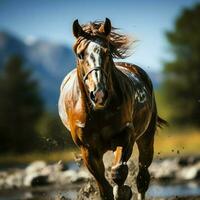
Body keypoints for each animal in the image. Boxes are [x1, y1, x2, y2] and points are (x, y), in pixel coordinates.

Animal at [58, 18, 167, 199]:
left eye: (107, 52)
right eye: (80, 54)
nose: (99, 94)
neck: (98, 113)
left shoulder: (126, 136)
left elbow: (118, 172)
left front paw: (123, 191)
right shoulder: (88, 150)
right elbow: (104, 187)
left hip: (146, 138)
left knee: (142, 178)